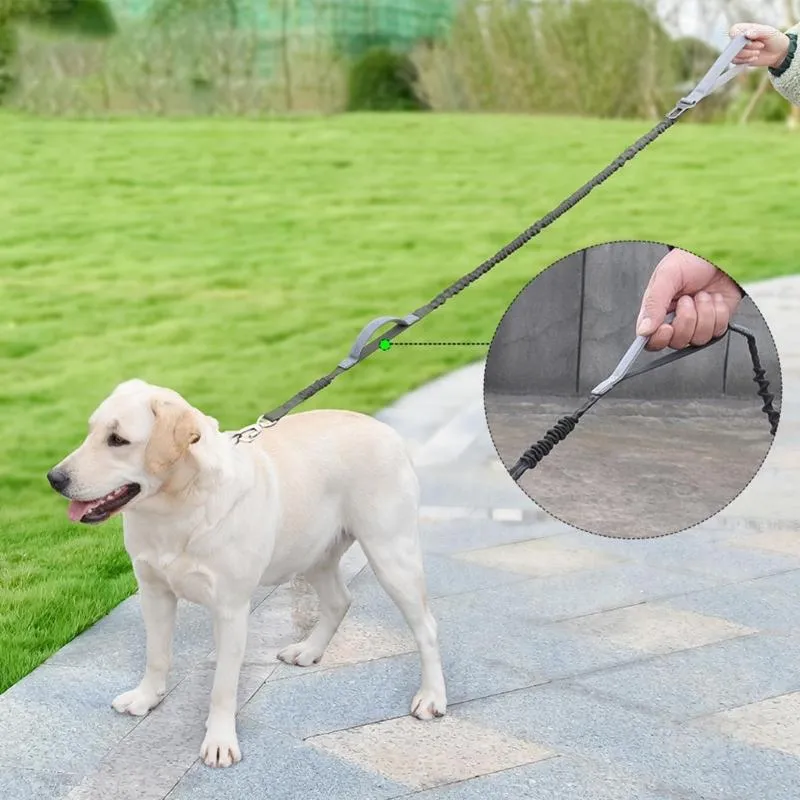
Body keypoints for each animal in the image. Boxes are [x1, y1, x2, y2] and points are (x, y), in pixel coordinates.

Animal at [47, 382, 446, 768]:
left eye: (117, 440)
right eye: (91, 431)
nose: (54, 478)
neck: (178, 508)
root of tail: (385, 429)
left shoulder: (230, 609)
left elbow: (223, 685)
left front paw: (220, 741)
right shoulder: (153, 592)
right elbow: (156, 655)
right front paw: (146, 698)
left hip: (391, 554)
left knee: (425, 626)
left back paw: (431, 696)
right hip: (313, 552)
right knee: (339, 600)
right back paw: (308, 650)